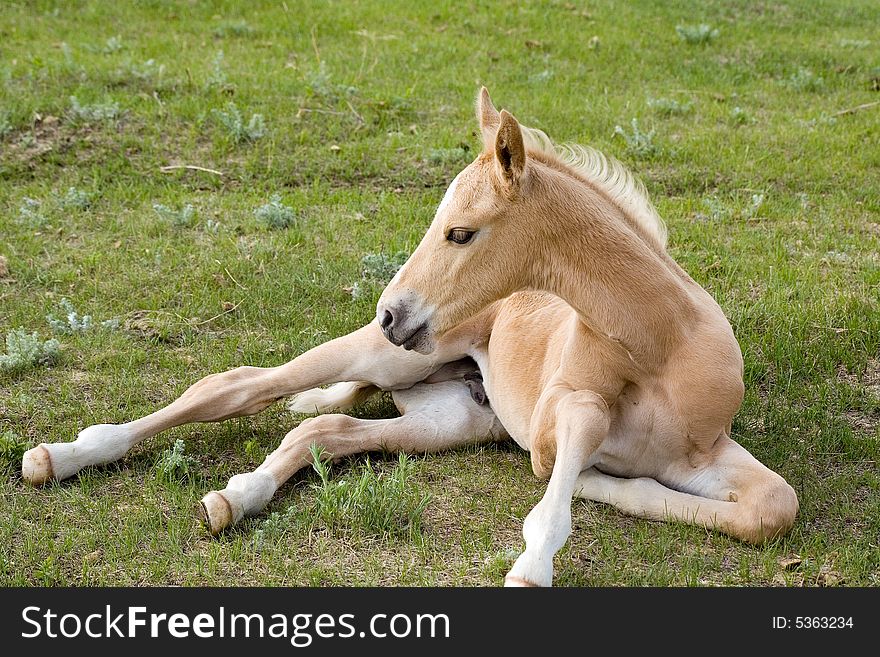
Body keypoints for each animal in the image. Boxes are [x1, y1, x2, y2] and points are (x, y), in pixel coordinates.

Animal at [24, 87, 800, 584]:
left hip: (448, 417)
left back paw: (235, 497)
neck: (662, 342)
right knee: (236, 387)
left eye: (459, 232)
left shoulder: (703, 451)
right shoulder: (560, 415)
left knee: (326, 429)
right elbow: (566, 459)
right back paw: (61, 456)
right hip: (384, 362)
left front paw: (614, 487)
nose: (392, 312)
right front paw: (540, 554)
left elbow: (771, 508)